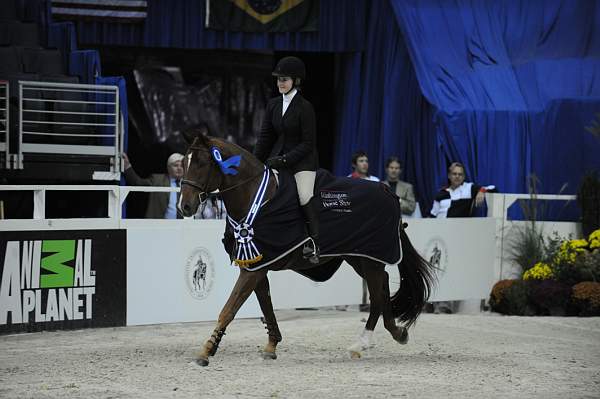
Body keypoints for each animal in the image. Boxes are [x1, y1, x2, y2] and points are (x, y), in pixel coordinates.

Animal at [178, 136, 436, 368]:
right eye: (184, 163)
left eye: (202, 163)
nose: (184, 207)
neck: (256, 199)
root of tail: (386, 189)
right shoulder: (257, 265)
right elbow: (266, 306)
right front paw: (271, 347)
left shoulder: (253, 269)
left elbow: (228, 309)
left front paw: (205, 352)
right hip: (359, 257)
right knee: (382, 286)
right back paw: (396, 333)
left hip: (371, 257)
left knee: (377, 295)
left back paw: (362, 343)